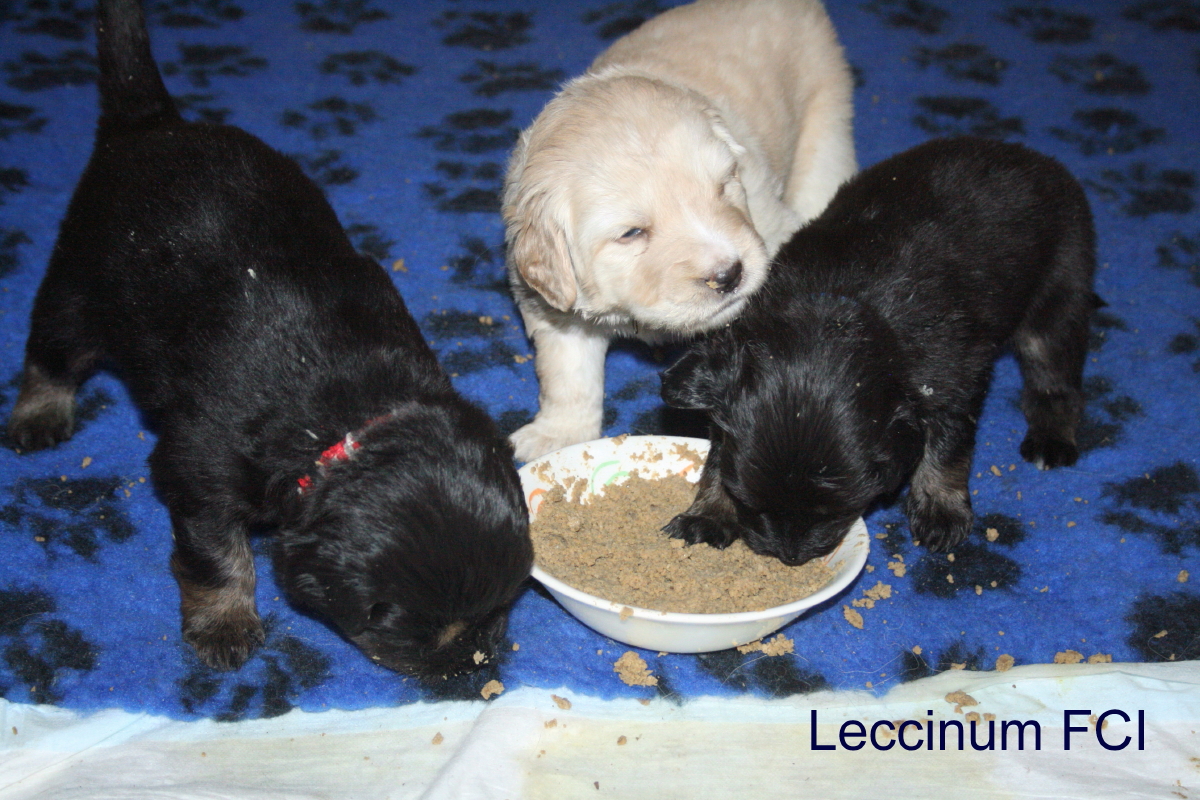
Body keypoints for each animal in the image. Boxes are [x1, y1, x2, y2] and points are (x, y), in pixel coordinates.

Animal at [6, 0, 533, 680]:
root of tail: (151, 127)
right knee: (51, 347)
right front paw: (225, 623)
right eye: (415, 633)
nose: (476, 664)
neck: (345, 420)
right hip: (80, 281)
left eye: (502, 606)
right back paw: (38, 412)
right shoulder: (198, 471)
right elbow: (216, 554)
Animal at [502, 0, 857, 461]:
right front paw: (557, 435)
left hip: (824, 124)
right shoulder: (557, 309)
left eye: (724, 186)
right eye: (632, 233)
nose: (729, 275)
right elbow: (568, 376)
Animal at [660, 137, 1098, 566]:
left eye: (835, 510)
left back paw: (1051, 441)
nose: (789, 556)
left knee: (1055, 380)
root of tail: (1033, 158)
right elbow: (719, 456)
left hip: (1059, 292)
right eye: (751, 503)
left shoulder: (951, 380)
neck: (833, 307)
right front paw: (708, 515)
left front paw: (940, 511)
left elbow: (948, 447)